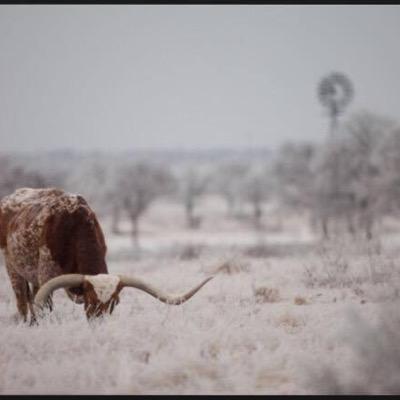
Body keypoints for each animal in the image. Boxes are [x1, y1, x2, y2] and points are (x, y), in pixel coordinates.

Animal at [0, 189, 212, 324]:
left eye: (114, 303)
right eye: (91, 301)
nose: (99, 325)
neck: (74, 225)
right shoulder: (46, 274)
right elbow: (44, 306)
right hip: (12, 267)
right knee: (22, 301)